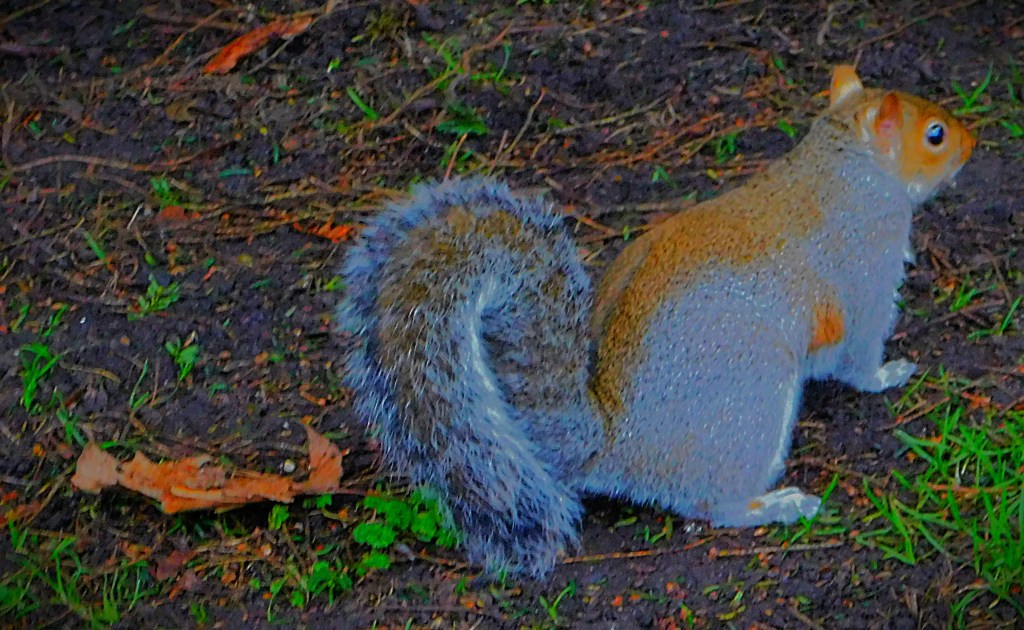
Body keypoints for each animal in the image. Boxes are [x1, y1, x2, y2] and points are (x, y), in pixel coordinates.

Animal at [337, 66, 975, 577]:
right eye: (934, 135)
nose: (973, 140)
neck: (846, 167)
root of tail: (616, 442)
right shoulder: (865, 274)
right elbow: (858, 354)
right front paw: (888, 374)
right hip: (754, 397)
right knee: (711, 504)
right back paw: (774, 505)